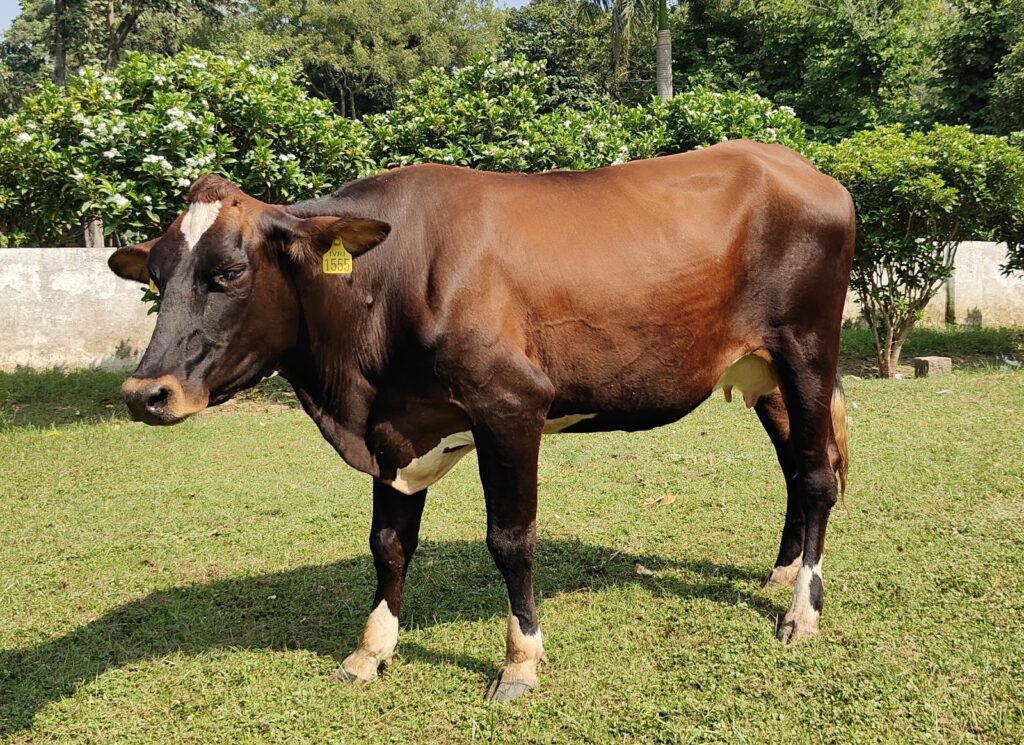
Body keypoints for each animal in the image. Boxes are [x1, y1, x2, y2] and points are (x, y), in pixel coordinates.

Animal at [107, 140, 853, 702]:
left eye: (229, 272)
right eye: (157, 277)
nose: (146, 393)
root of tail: (802, 167)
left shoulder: (510, 403)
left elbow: (511, 540)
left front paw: (520, 662)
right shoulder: (395, 430)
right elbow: (388, 543)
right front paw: (369, 651)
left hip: (808, 351)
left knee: (818, 478)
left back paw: (802, 610)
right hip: (763, 373)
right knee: (795, 469)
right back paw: (781, 573)